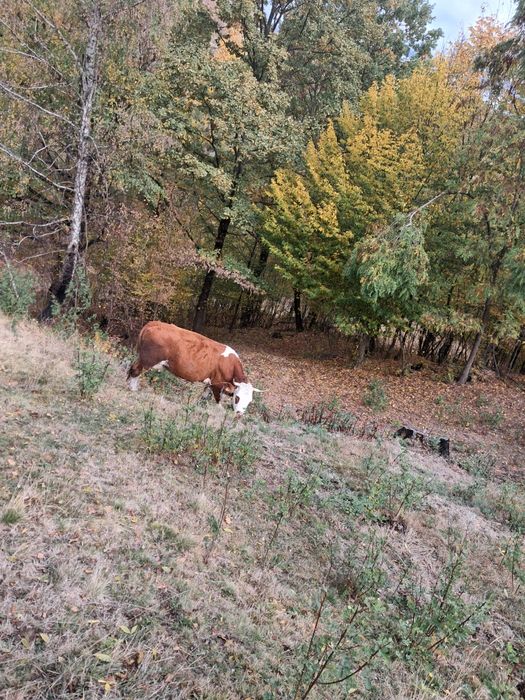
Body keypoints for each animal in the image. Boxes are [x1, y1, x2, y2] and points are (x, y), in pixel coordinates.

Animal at [127, 321, 261, 415]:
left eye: (249, 401)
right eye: (237, 398)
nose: (239, 414)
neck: (230, 365)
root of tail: (154, 323)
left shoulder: (211, 382)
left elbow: (204, 395)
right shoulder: (218, 383)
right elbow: (218, 398)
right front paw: (220, 410)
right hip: (147, 360)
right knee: (135, 371)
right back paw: (133, 389)